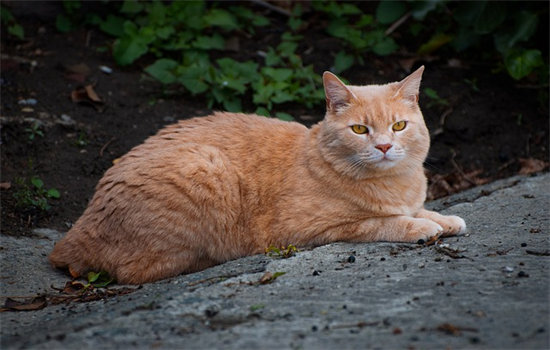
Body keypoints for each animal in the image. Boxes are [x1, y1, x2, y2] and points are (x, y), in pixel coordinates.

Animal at [50, 66, 466, 284]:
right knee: (141, 271)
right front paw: (421, 227)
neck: (394, 183)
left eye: (399, 126)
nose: (383, 147)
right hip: (207, 169)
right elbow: (384, 222)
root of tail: (75, 231)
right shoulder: (315, 230)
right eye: (360, 130)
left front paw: (445, 218)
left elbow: (421, 209)